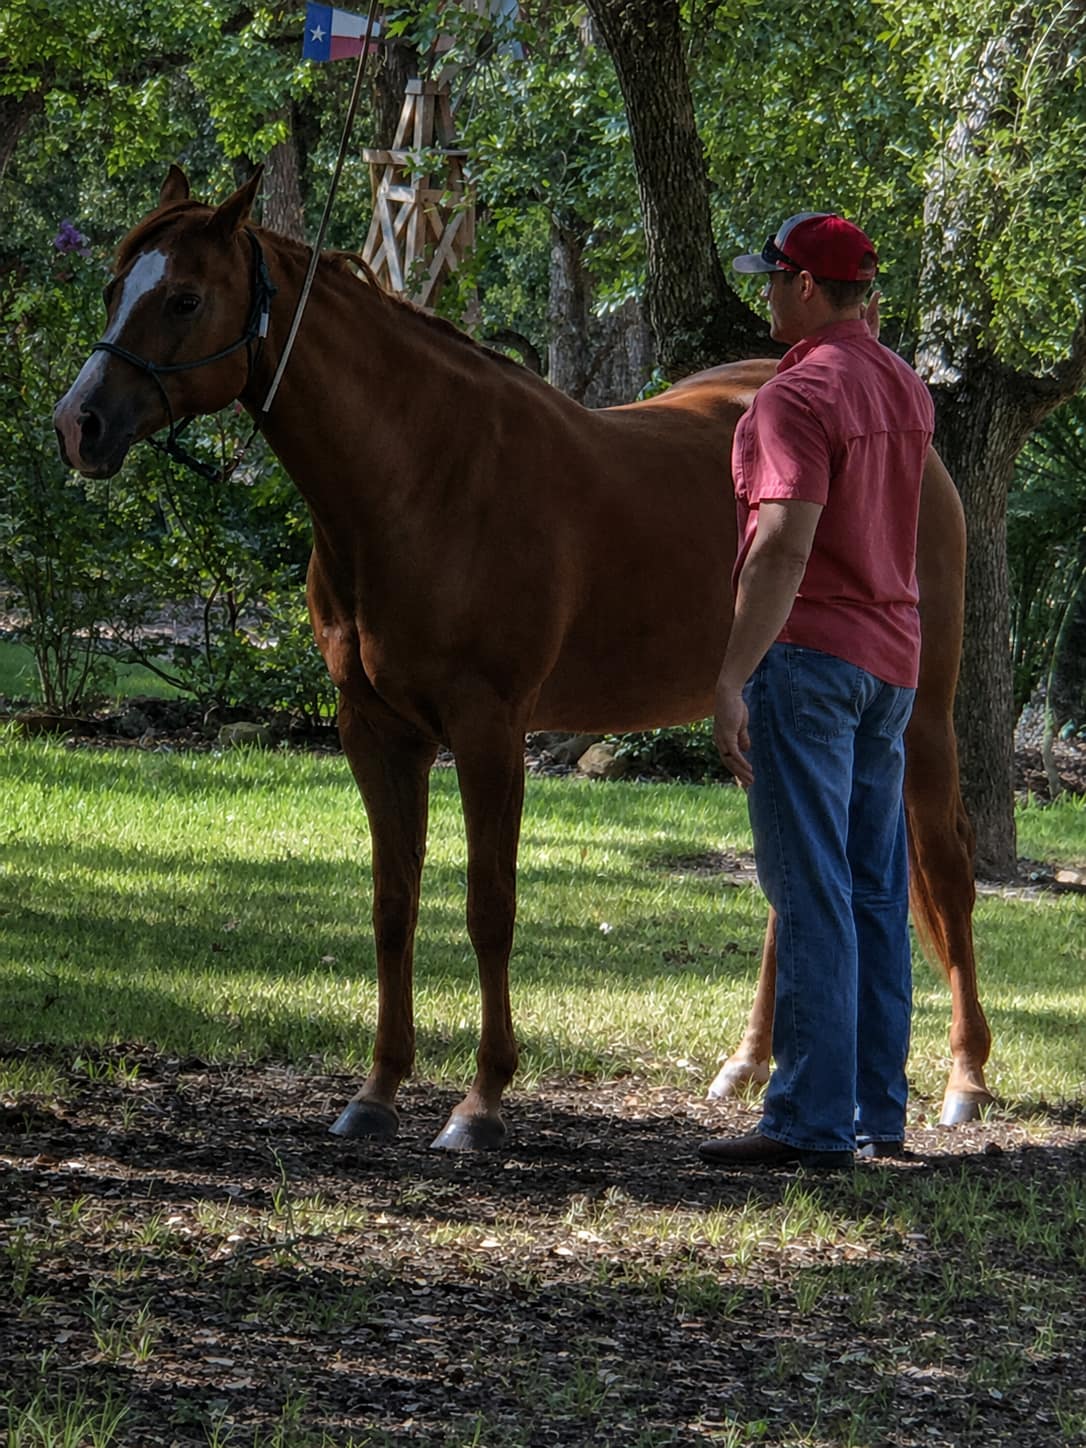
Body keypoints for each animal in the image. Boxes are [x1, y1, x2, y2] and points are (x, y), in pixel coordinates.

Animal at [54, 168, 993, 1150]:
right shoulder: (375, 732)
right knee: (796, 894)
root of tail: (922, 447)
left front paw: (481, 1100)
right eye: (114, 288)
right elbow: (393, 908)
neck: (422, 475)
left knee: (946, 868)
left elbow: (489, 911)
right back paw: (748, 1065)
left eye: (184, 298)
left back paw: (964, 1079)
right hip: (753, 717)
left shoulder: (490, 731)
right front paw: (377, 1089)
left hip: (921, 718)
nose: (79, 424)